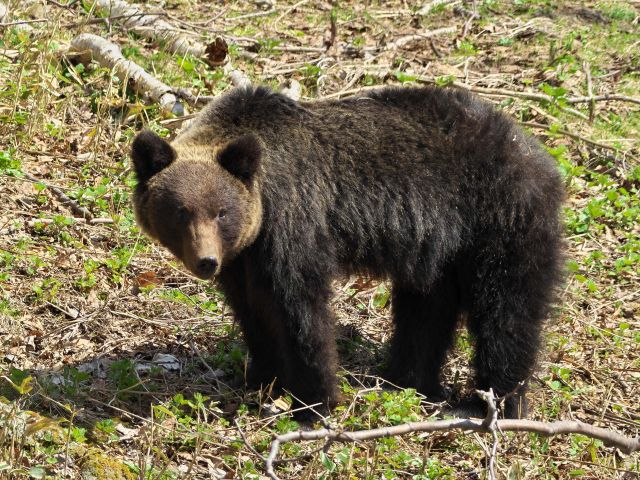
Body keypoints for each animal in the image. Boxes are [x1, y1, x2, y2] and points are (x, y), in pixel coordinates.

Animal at [131, 85, 564, 419]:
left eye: (221, 211)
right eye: (180, 211)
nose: (206, 261)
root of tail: (538, 152)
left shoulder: (293, 221)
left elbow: (299, 311)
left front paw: (314, 401)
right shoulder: (243, 259)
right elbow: (253, 311)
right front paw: (261, 377)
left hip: (500, 220)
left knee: (506, 311)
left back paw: (495, 402)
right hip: (441, 249)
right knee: (425, 313)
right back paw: (408, 380)